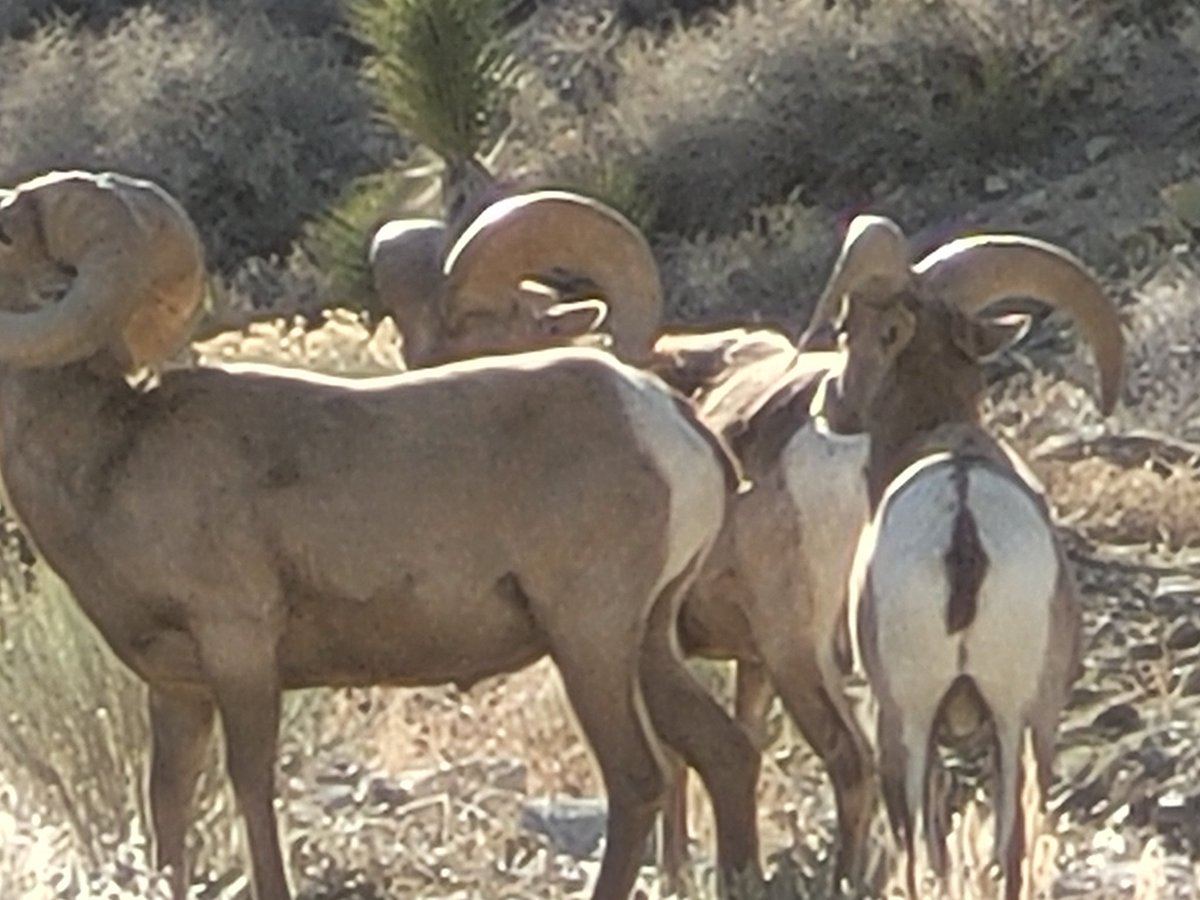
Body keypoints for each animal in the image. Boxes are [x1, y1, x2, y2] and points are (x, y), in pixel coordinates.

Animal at [0, 168, 764, 900]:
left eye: (7, 235)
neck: (111, 454)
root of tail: (667, 417)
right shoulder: (177, 689)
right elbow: (170, 806)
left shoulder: (238, 646)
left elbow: (251, 784)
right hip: (648, 641)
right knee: (724, 753)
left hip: (590, 640)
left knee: (639, 779)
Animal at [797, 215, 1125, 899]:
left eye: (848, 330)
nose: (830, 404)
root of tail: (965, 528)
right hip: (1024, 722)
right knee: (1015, 845)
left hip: (908, 722)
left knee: (918, 849)